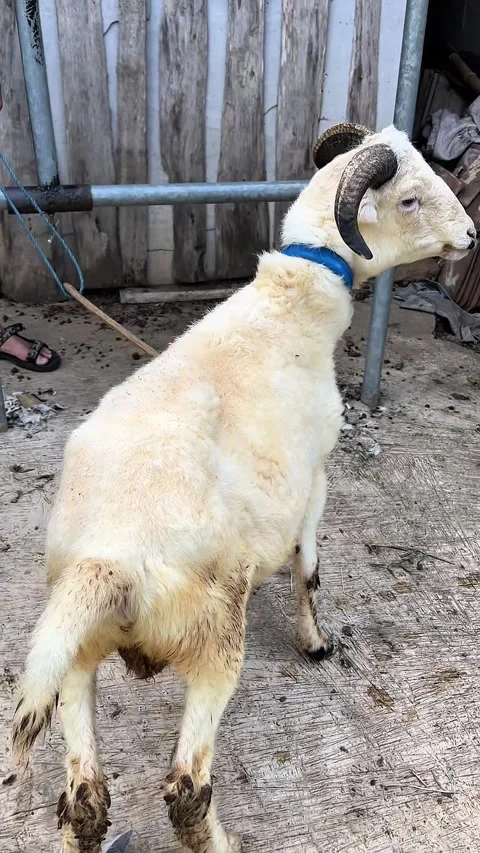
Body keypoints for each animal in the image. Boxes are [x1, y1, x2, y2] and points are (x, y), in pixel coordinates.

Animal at [12, 123, 475, 853]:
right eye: (408, 198)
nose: (470, 237)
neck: (290, 304)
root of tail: (106, 562)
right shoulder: (316, 474)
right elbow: (309, 569)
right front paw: (315, 643)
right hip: (211, 639)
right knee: (186, 790)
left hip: (70, 654)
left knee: (84, 800)